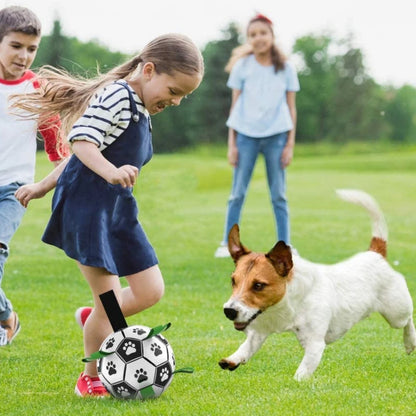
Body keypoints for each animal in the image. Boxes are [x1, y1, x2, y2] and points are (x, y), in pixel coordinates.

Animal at [219, 189, 414, 380]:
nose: (229, 311)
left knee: (408, 319)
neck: (286, 304)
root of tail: (375, 253)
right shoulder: (259, 330)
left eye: (258, 285)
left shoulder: (314, 344)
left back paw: (410, 342)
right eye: (233, 280)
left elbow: (301, 373)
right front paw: (233, 359)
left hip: (396, 312)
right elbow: (247, 347)